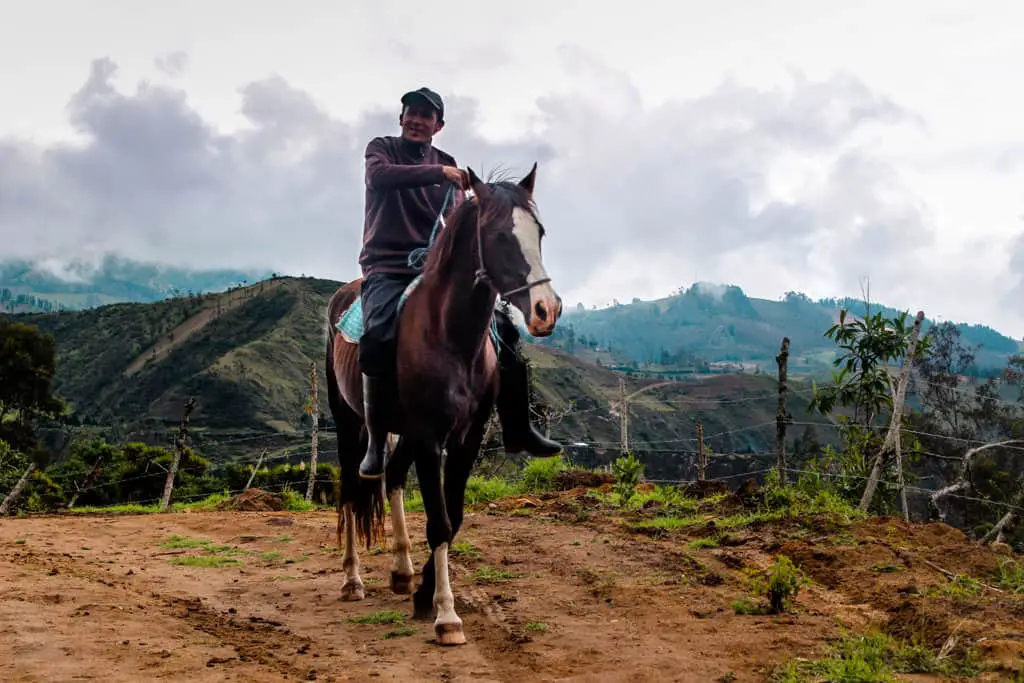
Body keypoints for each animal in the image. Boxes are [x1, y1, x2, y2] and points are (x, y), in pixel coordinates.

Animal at [325, 162, 561, 643]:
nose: (547, 310)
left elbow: (454, 517)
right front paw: (446, 615)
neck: (451, 335)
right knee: (354, 489)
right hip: (350, 423)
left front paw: (424, 595)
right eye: (500, 236)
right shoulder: (431, 438)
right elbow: (439, 521)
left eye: (540, 232)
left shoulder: (465, 438)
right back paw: (352, 578)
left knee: (393, 477)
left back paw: (401, 570)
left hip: (404, 433)